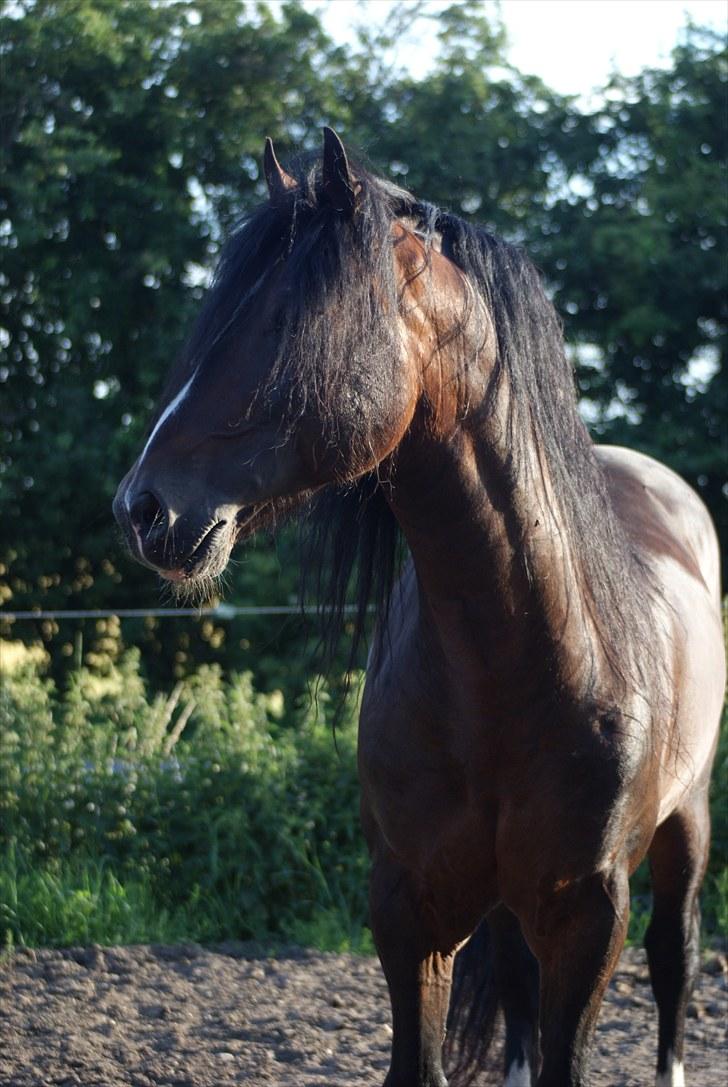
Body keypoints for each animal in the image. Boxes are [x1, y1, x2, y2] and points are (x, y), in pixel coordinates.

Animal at [112, 129, 725, 1087]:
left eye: (287, 323)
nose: (143, 510)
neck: (512, 662)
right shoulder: (408, 909)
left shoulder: (589, 917)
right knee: (514, 978)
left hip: (686, 822)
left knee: (675, 959)